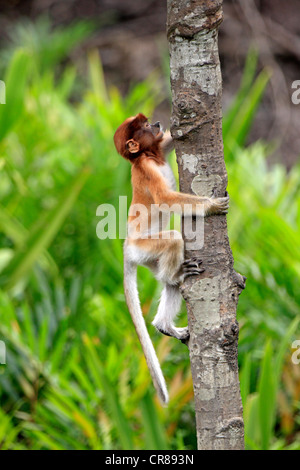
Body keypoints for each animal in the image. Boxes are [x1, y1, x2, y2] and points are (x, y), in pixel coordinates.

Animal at [113, 114, 229, 404]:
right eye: (143, 127)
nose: (155, 124)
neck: (148, 156)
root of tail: (127, 247)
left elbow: (173, 139)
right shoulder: (147, 169)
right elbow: (166, 198)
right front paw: (212, 205)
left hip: (147, 257)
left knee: (171, 286)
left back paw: (164, 325)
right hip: (145, 247)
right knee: (174, 240)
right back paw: (176, 274)